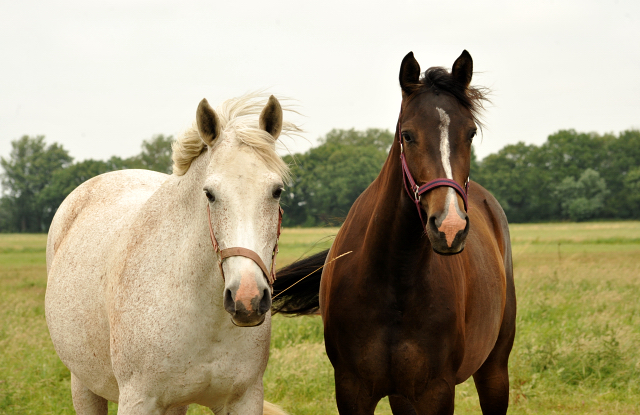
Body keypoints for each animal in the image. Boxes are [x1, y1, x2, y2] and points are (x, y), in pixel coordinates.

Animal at [45, 94, 298, 415]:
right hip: (83, 384)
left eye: (277, 191)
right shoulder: (137, 400)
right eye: (209, 194)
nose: (247, 299)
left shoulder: (244, 399)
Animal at [274, 52, 516, 415]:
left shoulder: (436, 391)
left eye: (471, 133)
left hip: (494, 370)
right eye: (408, 135)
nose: (450, 227)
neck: (394, 278)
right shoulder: (353, 389)